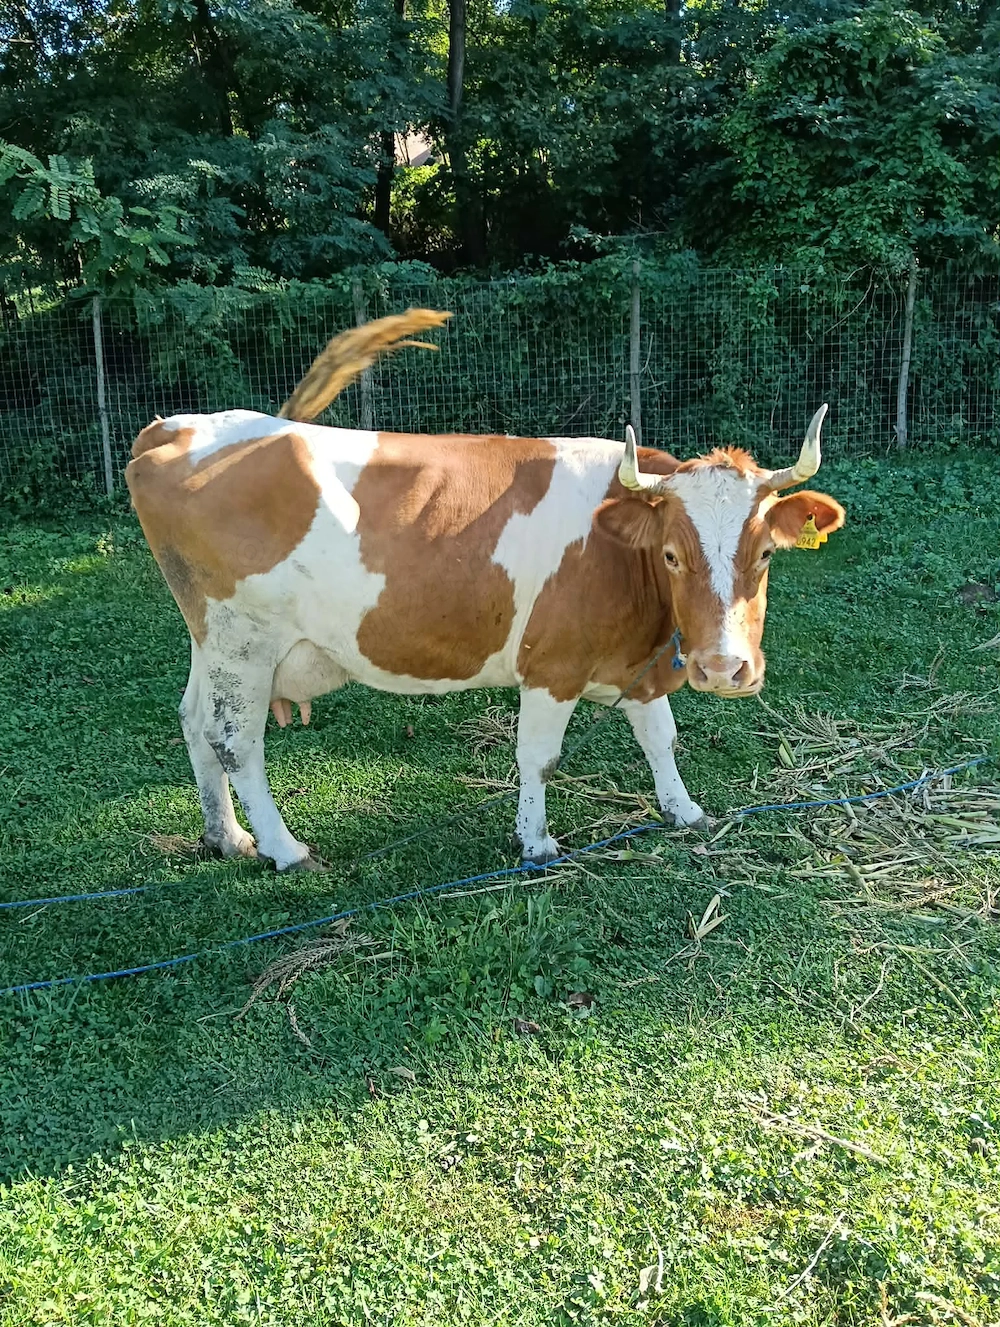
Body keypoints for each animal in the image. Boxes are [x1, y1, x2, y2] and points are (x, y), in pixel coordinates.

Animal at [126, 309, 845, 872]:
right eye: (671, 554)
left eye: (766, 553)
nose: (724, 668)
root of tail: (175, 427)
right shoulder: (551, 666)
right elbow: (539, 756)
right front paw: (536, 842)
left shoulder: (638, 662)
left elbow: (660, 739)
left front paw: (684, 810)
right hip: (243, 639)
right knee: (234, 738)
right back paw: (283, 846)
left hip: (213, 641)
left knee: (193, 719)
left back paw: (226, 836)